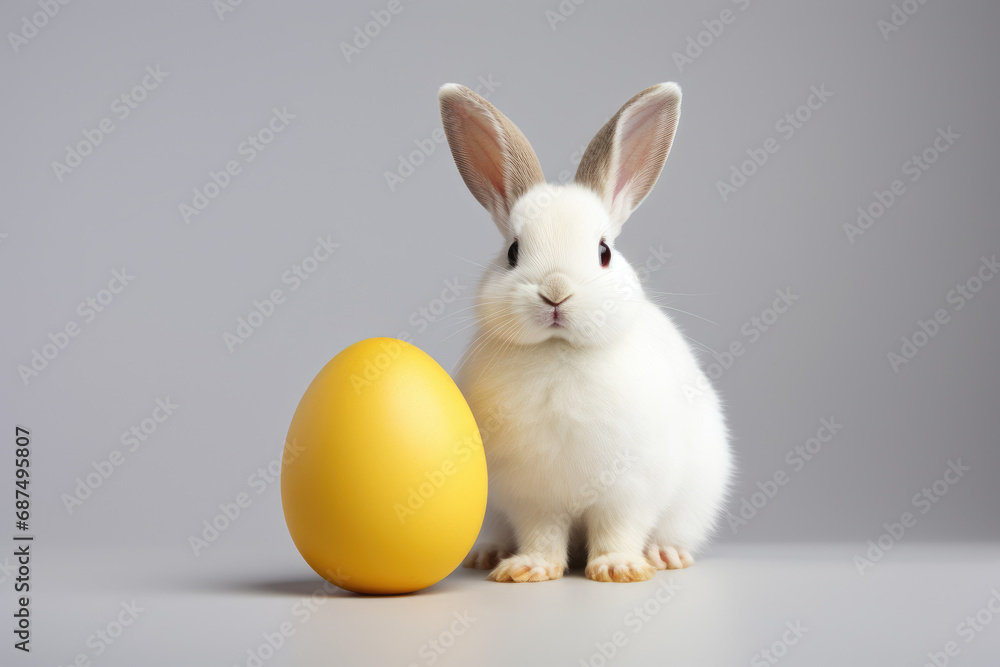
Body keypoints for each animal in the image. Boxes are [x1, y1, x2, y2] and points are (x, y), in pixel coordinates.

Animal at [437, 82, 732, 583]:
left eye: (604, 252)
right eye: (513, 252)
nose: (555, 292)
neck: (560, 353)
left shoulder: (630, 490)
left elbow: (619, 529)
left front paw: (619, 569)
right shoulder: (532, 497)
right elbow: (542, 533)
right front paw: (530, 569)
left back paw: (665, 556)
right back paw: (488, 555)